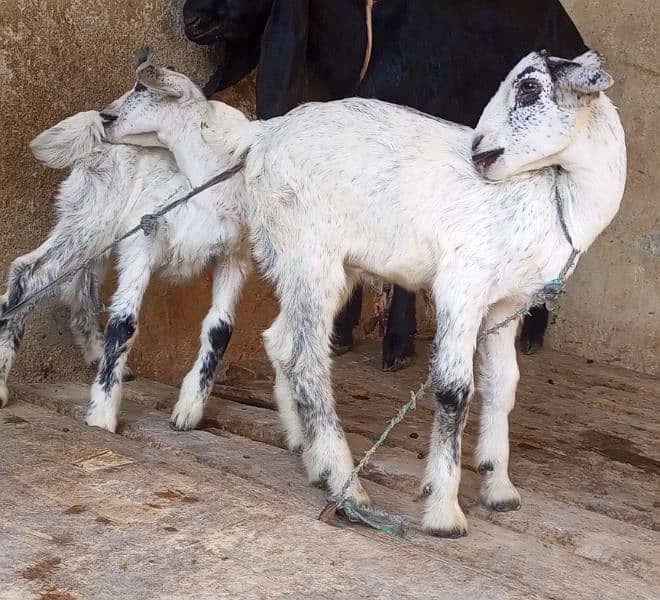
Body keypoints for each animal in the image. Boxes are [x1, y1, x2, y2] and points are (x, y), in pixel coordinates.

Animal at [0, 110, 251, 434]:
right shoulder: (143, 238)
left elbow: (220, 328)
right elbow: (124, 322)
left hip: (95, 233)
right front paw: (102, 416)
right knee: (31, 274)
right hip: (91, 219)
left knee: (78, 286)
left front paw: (188, 411)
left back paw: (96, 352)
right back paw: (2, 384)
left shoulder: (233, 256)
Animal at [102, 50, 624, 536]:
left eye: (531, 88)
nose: (478, 152)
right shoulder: (462, 286)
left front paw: (499, 489)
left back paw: (310, 453)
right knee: (304, 357)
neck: (555, 198)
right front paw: (444, 512)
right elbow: (455, 389)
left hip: (306, 262)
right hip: (311, 250)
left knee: (280, 340)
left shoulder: (507, 305)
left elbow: (502, 384)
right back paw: (344, 482)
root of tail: (263, 136)